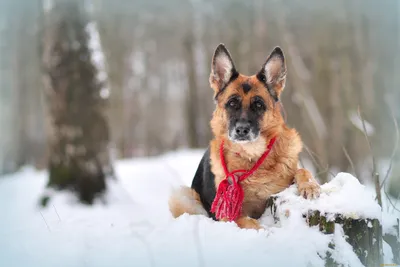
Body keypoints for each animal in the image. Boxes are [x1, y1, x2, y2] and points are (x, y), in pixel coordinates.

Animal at [169, 44, 322, 230]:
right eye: (232, 103)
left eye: (258, 105)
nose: (242, 130)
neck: (251, 156)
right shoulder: (229, 215)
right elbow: (250, 223)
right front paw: (266, 231)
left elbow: (302, 170)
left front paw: (310, 186)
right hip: (182, 197)